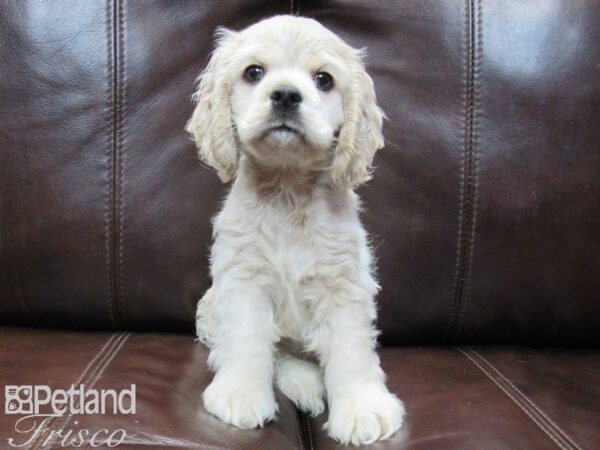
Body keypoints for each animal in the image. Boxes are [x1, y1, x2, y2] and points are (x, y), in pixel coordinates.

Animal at [186, 14, 404, 446]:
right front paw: (240, 396)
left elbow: (351, 350)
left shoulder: (343, 285)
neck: (287, 189)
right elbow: (249, 340)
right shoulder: (243, 280)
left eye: (323, 79)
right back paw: (304, 383)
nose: (286, 95)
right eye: (254, 72)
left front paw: (362, 410)